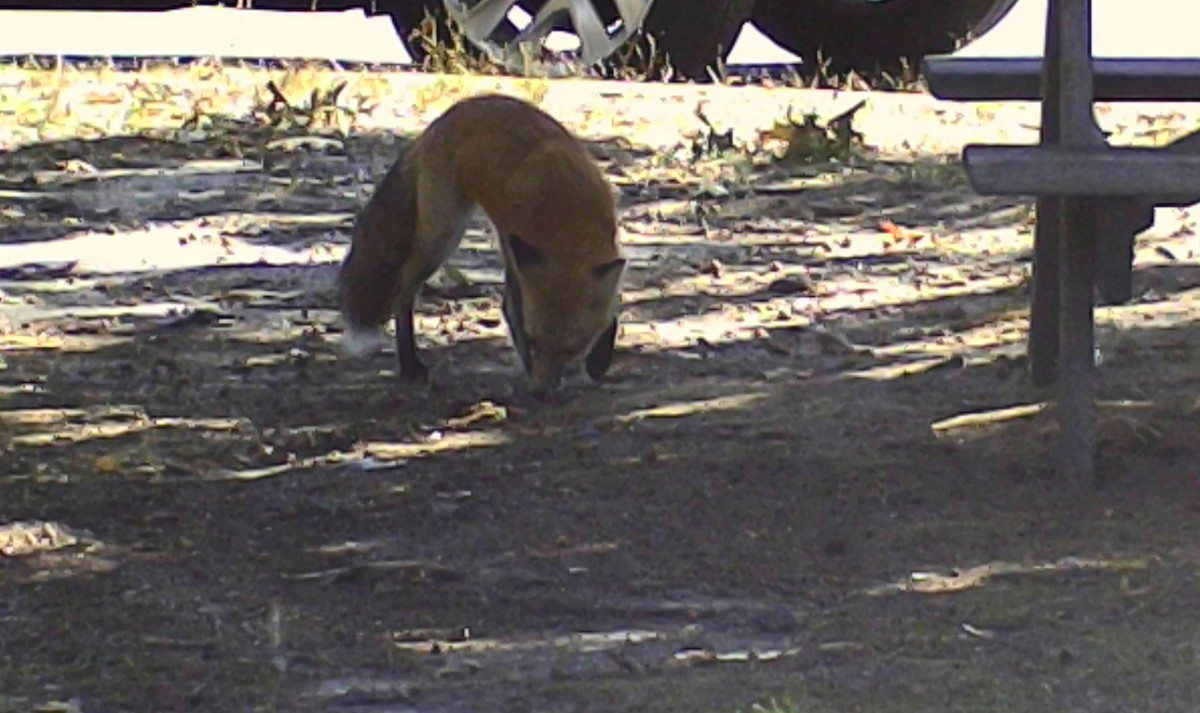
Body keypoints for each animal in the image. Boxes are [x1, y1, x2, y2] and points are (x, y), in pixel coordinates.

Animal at [337, 93, 626, 397]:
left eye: (570, 348)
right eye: (533, 340)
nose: (539, 392)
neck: (565, 217)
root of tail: (436, 125)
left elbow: (610, 310)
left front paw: (599, 359)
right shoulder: (514, 247)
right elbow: (512, 310)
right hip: (442, 237)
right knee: (402, 290)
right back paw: (409, 363)